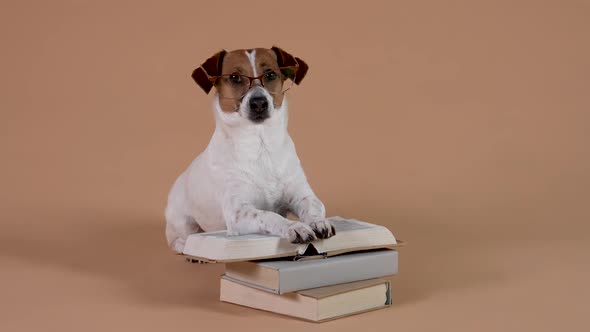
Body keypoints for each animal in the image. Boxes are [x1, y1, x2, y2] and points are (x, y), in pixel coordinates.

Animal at [165, 44, 338, 252]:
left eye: (270, 74)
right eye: (234, 77)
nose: (259, 103)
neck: (260, 146)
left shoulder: (301, 194)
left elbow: (314, 206)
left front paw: (318, 222)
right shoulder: (238, 212)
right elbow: (268, 214)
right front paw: (294, 226)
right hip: (182, 221)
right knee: (177, 239)